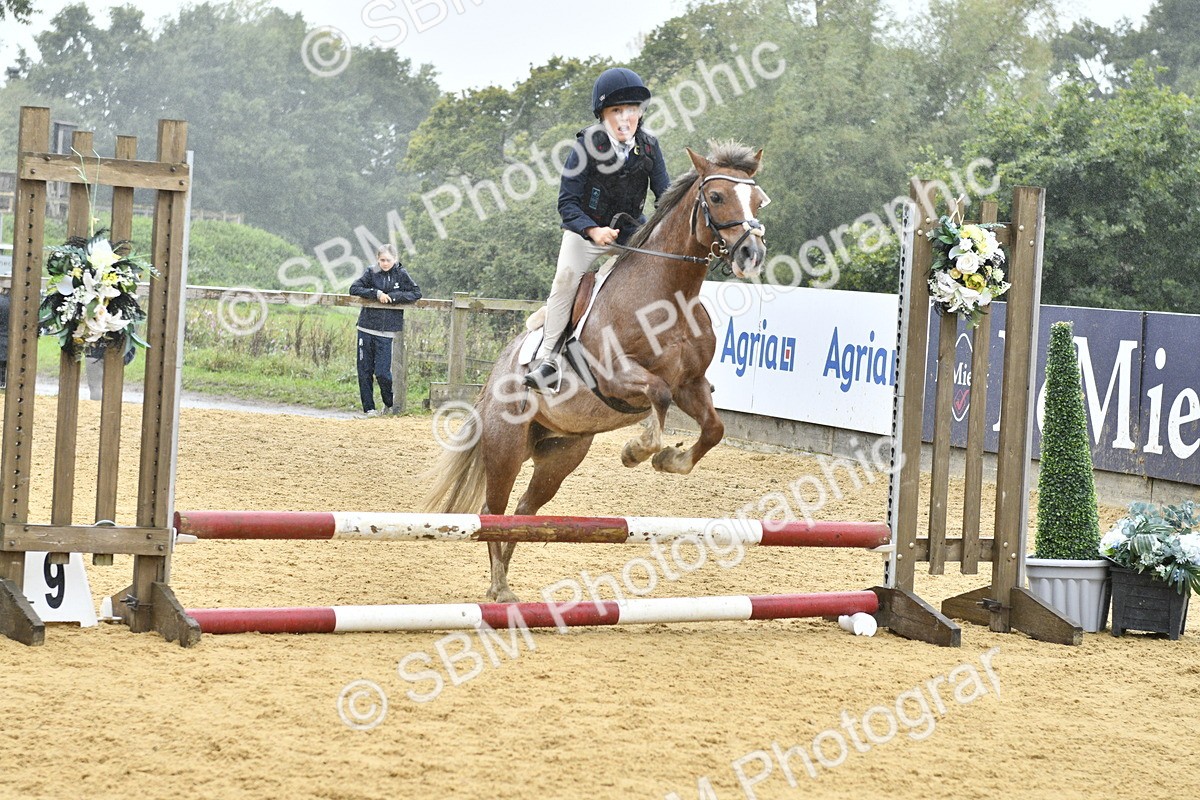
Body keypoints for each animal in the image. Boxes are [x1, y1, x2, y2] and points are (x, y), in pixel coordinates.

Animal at [422, 142, 770, 602]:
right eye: (715, 197)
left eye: (758, 199)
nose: (752, 254)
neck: (669, 296)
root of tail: (492, 379)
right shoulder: (616, 376)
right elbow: (657, 395)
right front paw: (636, 450)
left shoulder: (691, 386)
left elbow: (713, 429)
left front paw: (670, 460)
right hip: (506, 448)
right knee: (492, 512)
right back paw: (500, 588)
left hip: (561, 454)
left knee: (525, 511)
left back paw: (504, 582)